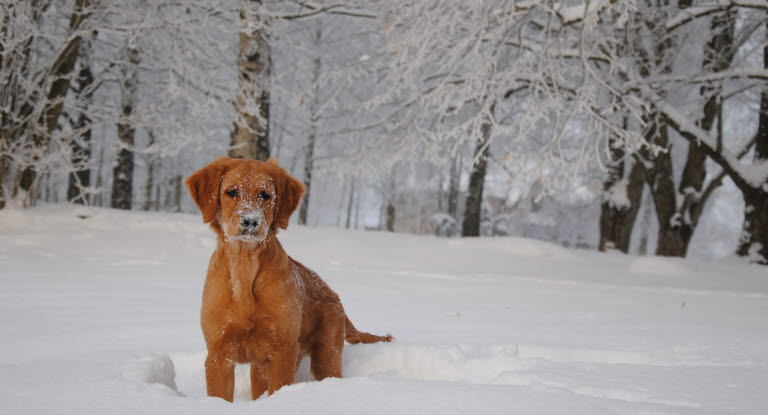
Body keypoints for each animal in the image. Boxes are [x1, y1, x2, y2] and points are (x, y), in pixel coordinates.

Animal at [184, 158, 390, 402]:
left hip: (326, 354)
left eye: (265, 195)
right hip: (262, 366)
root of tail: (333, 294)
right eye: (231, 192)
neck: (245, 270)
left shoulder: (281, 351)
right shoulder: (219, 352)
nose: (251, 221)